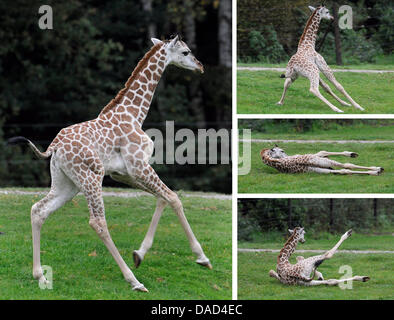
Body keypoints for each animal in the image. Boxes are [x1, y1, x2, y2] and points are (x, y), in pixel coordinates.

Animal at [7, 35, 211, 292]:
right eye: (185, 52)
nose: (200, 66)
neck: (134, 113)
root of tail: (54, 147)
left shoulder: (123, 173)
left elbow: (162, 198)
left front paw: (139, 254)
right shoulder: (138, 166)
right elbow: (173, 198)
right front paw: (202, 257)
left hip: (67, 183)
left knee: (39, 210)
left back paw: (40, 276)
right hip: (91, 176)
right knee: (98, 222)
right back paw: (134, 281)